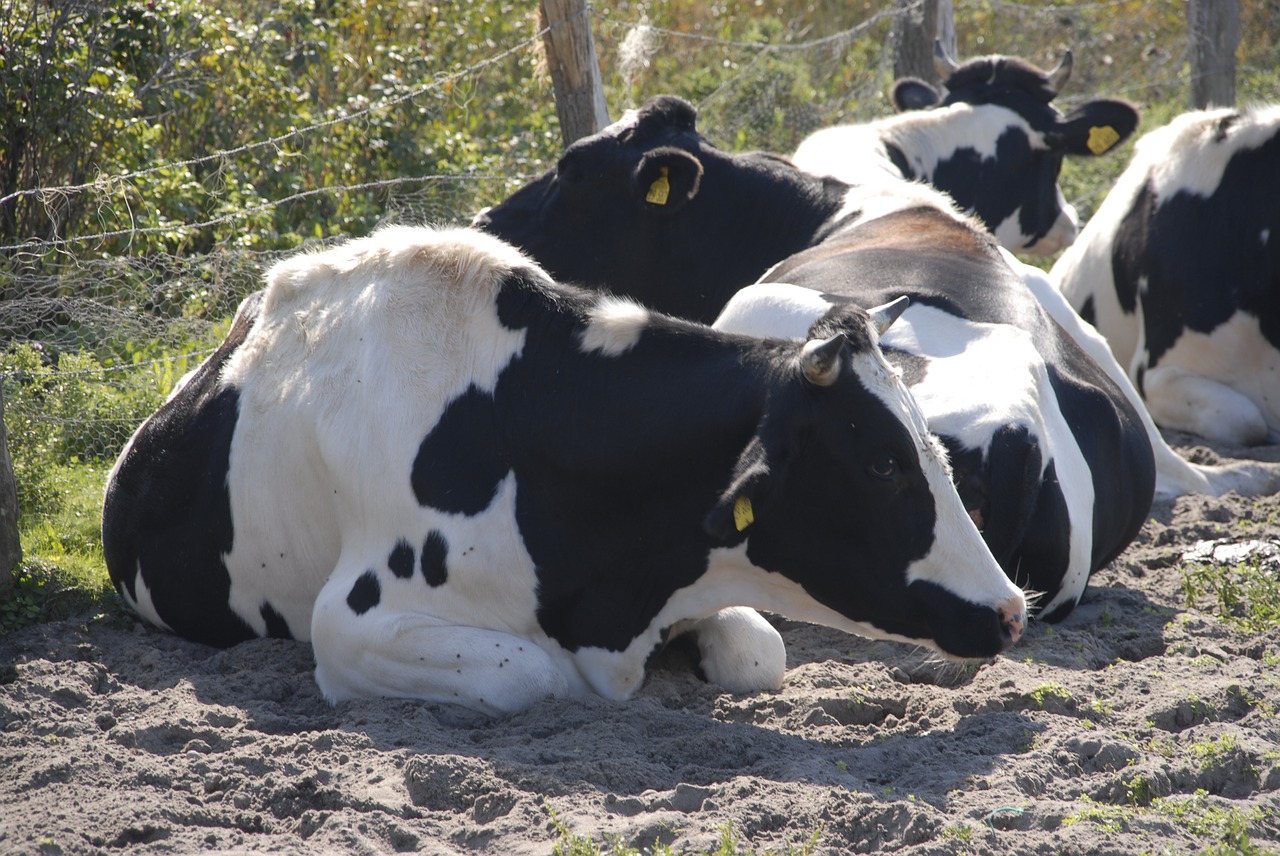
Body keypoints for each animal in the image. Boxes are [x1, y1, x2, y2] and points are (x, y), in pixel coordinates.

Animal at [97, 222, 1029, 716]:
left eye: (932, 451)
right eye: (881, 465)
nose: (1012, 609)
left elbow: (760, 651)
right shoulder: (350, 621)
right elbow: (532, 672)